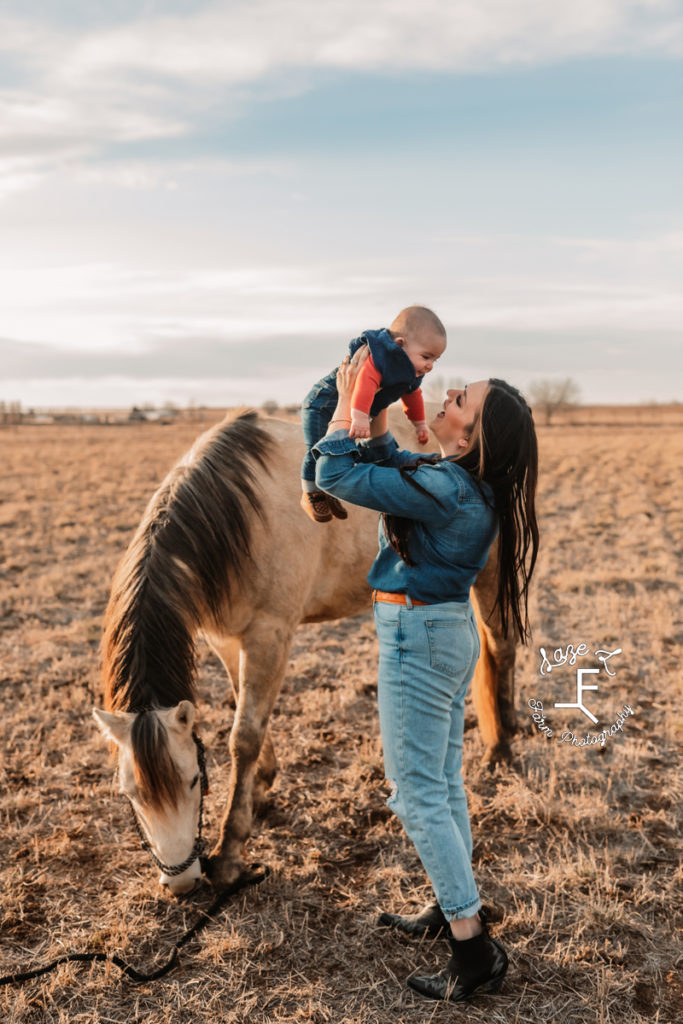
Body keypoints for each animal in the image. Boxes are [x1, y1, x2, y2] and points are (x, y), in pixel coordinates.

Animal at [93, 411, 516, 892]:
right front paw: (261, 786)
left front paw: (230, 852)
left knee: (501, 645)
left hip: (492, 572)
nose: (181, 885)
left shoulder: (270, 634)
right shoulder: (225, 639)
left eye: (193, 780)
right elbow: (244, 712)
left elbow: (244, 736)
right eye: (129, 793)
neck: (237, 516)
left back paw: (502, 744)